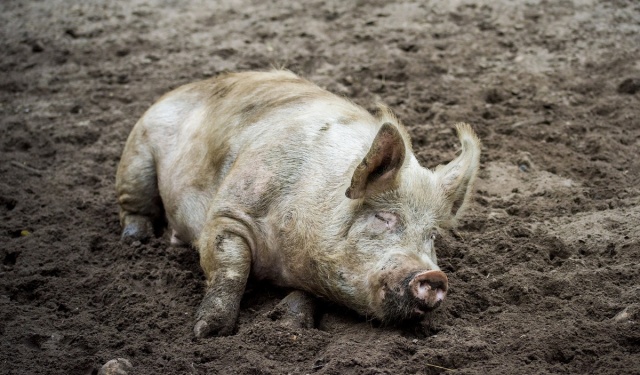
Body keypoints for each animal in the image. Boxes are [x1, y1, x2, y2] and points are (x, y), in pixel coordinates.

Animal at [116, 70, 480, 338]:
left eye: (432, 235)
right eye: (384, 218)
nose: (434, 277)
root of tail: (185, 87)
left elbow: (308, 296)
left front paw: (289, 325)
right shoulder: (229, 212)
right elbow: (231, 267)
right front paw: (207, 333)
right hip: (137, 152)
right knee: (134, 205)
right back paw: (136, 239)